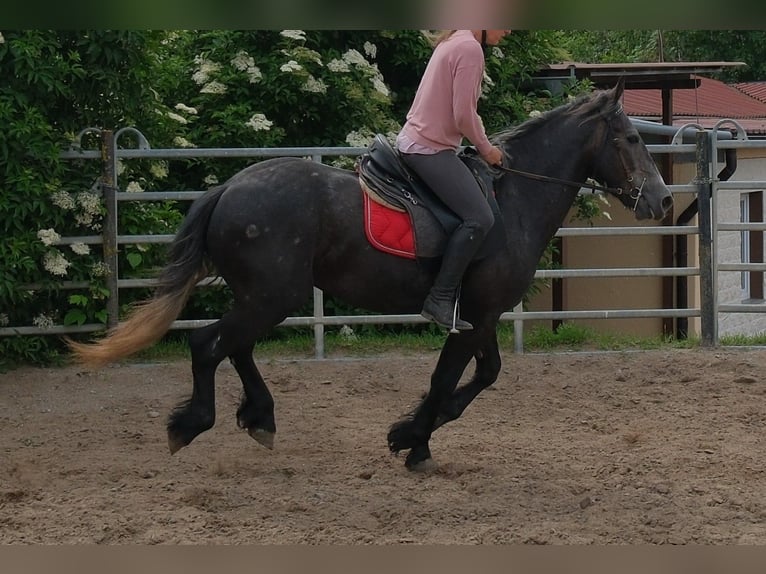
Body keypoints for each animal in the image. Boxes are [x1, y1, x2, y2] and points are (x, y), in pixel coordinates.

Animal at [68, 79, 673, 471]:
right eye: (633, 139)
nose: (663, 200)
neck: (512, 200)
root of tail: (228, 188)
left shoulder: (482, 316)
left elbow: (484, 375)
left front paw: (413, 432)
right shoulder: (472, 316)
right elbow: (449, 379)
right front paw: (416, 442)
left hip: (264, 297)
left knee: (232, 346)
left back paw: (261, 418)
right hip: (271, 297)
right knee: (207, 345)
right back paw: (191, 424)